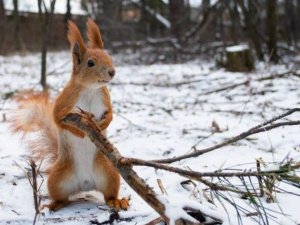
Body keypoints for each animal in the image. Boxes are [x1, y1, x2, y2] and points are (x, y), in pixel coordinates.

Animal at [9, 18, 128, 212]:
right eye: (90, 63)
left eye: (110, 57)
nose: (112, 72)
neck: (90, 89)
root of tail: (85, 184)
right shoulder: (63, 103)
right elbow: (57, 120)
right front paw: (79, 132)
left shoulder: (105, 99)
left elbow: (111, 114)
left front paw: (103, 124)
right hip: (57, 178)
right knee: (62, 197)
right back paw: (54, 204)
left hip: (110, 174)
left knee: (109, 194)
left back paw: (116, 201)